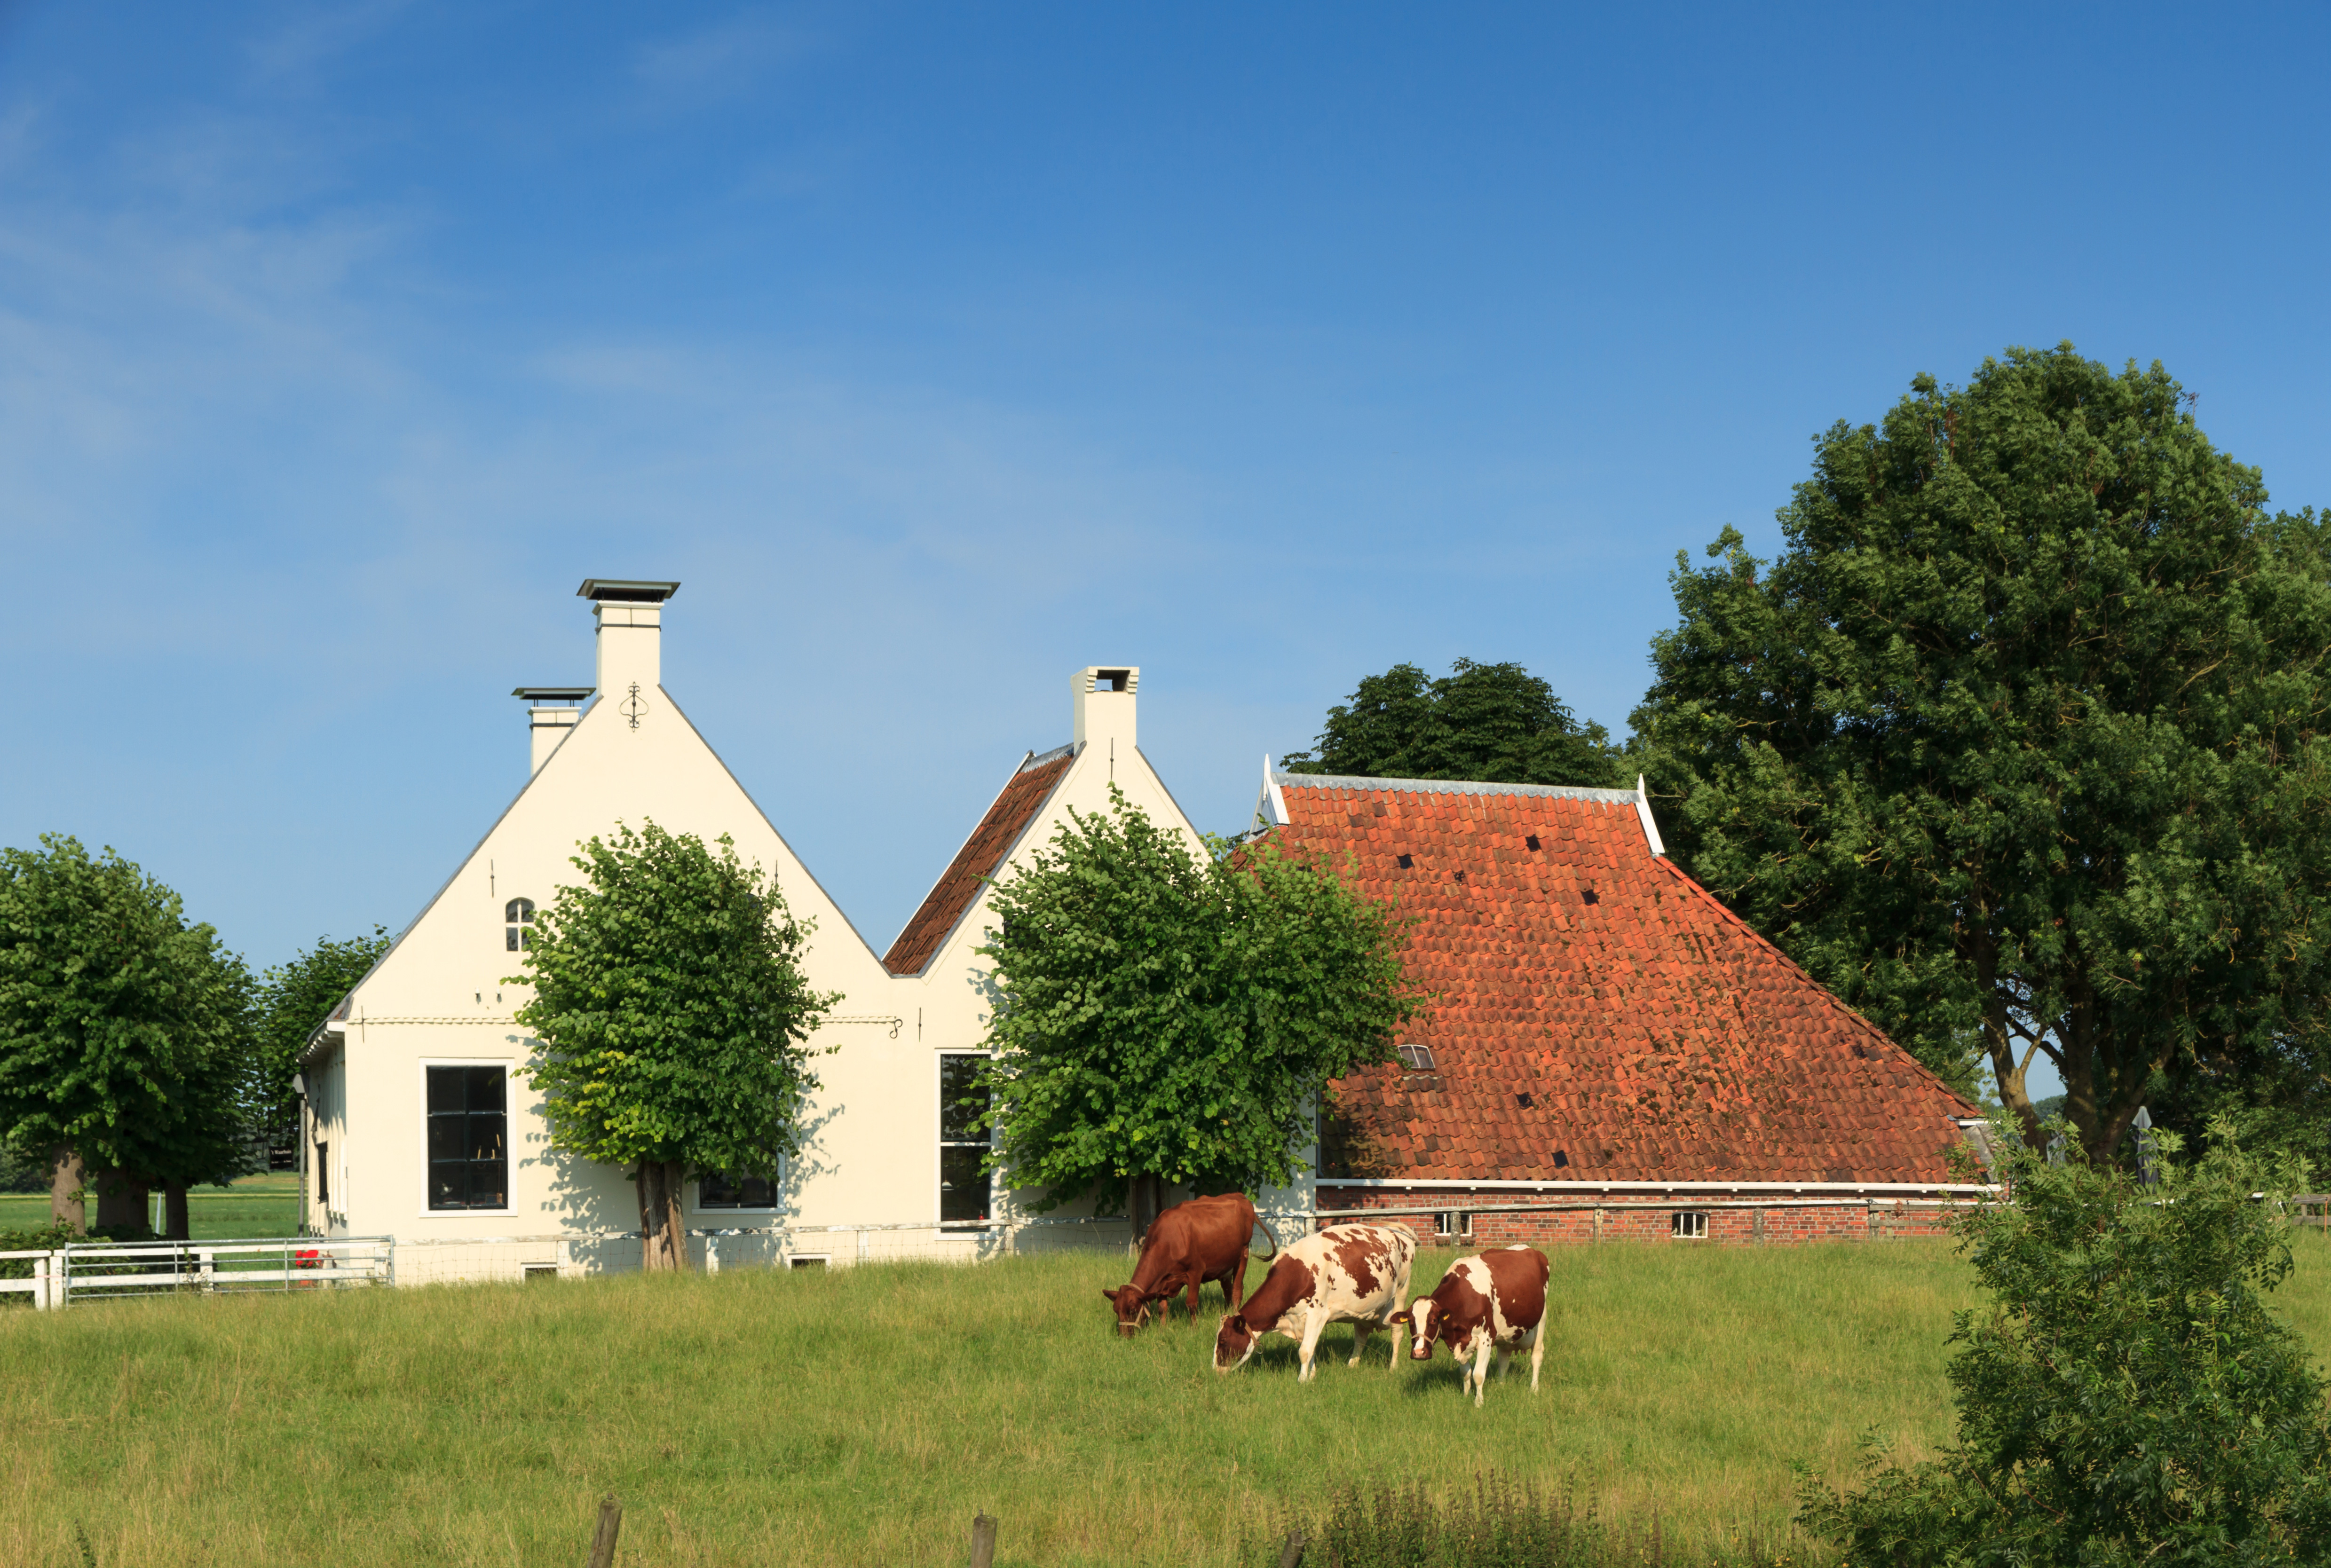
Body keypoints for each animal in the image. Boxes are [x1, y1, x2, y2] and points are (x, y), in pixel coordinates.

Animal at [1100, 1202, 1268, 1332]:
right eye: (1116, 1310)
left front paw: (1194, 1329)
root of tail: (1242, 1200)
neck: (1169, 1242)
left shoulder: (1195, 1272)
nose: (1125, 1335)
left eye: (1133, 1309)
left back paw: (1234, 1313)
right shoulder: (1162, 1282)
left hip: (1243, 1254)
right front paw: (1163, 1330)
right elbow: (1162, 1308)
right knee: (1228, 1289)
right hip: (1226, 1264)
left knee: (1237, 1290)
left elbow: (1191, 1304)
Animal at [1221, 1221, 1417, 1379]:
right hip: (1363, 1308)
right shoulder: (1303, 1320)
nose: (1217, 1371)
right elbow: (1311, 1348)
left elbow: (1305, 1351)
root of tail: (1399, 1234)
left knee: (1397, 1333)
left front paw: (1302, 1381)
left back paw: (1393, 1367)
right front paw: (1312, 1376)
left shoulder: (1317, 1314)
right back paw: (1352, 1365)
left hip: (1401, 1292)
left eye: (1223, 1340)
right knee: (1361, 1336)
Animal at [1389, 1249, 1557, 1407]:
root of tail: (1533, 1251)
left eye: (1434, 1320)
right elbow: (1466, 1373)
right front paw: (1466, 1396)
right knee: (1504, 1359)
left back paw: (1534, 1389)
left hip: (1542, 1319)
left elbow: (1478, 1374)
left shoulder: (1486, 1338)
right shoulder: (1457, 1343)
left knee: (1536, 1356)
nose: (1419, 1353)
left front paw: (1478, 1403)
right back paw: (1501, 1385)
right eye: (1411, 1322)